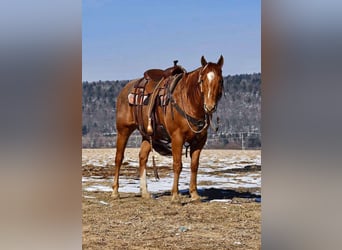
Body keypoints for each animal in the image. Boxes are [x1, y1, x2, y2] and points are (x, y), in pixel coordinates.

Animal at [113, 55, 224, 203]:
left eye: (220, 80)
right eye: (202, 80)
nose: (210, 107)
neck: (188, 100)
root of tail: (125, 89)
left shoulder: (199, 141)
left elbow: (194, 165)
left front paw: (194, 194)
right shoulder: (177, 137)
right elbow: (177, 165)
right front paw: (175, 196)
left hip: (147, 135)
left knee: (142, 158)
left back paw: (145, 192)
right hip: (123, 130)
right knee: (119, 158)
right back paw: (115, 192)